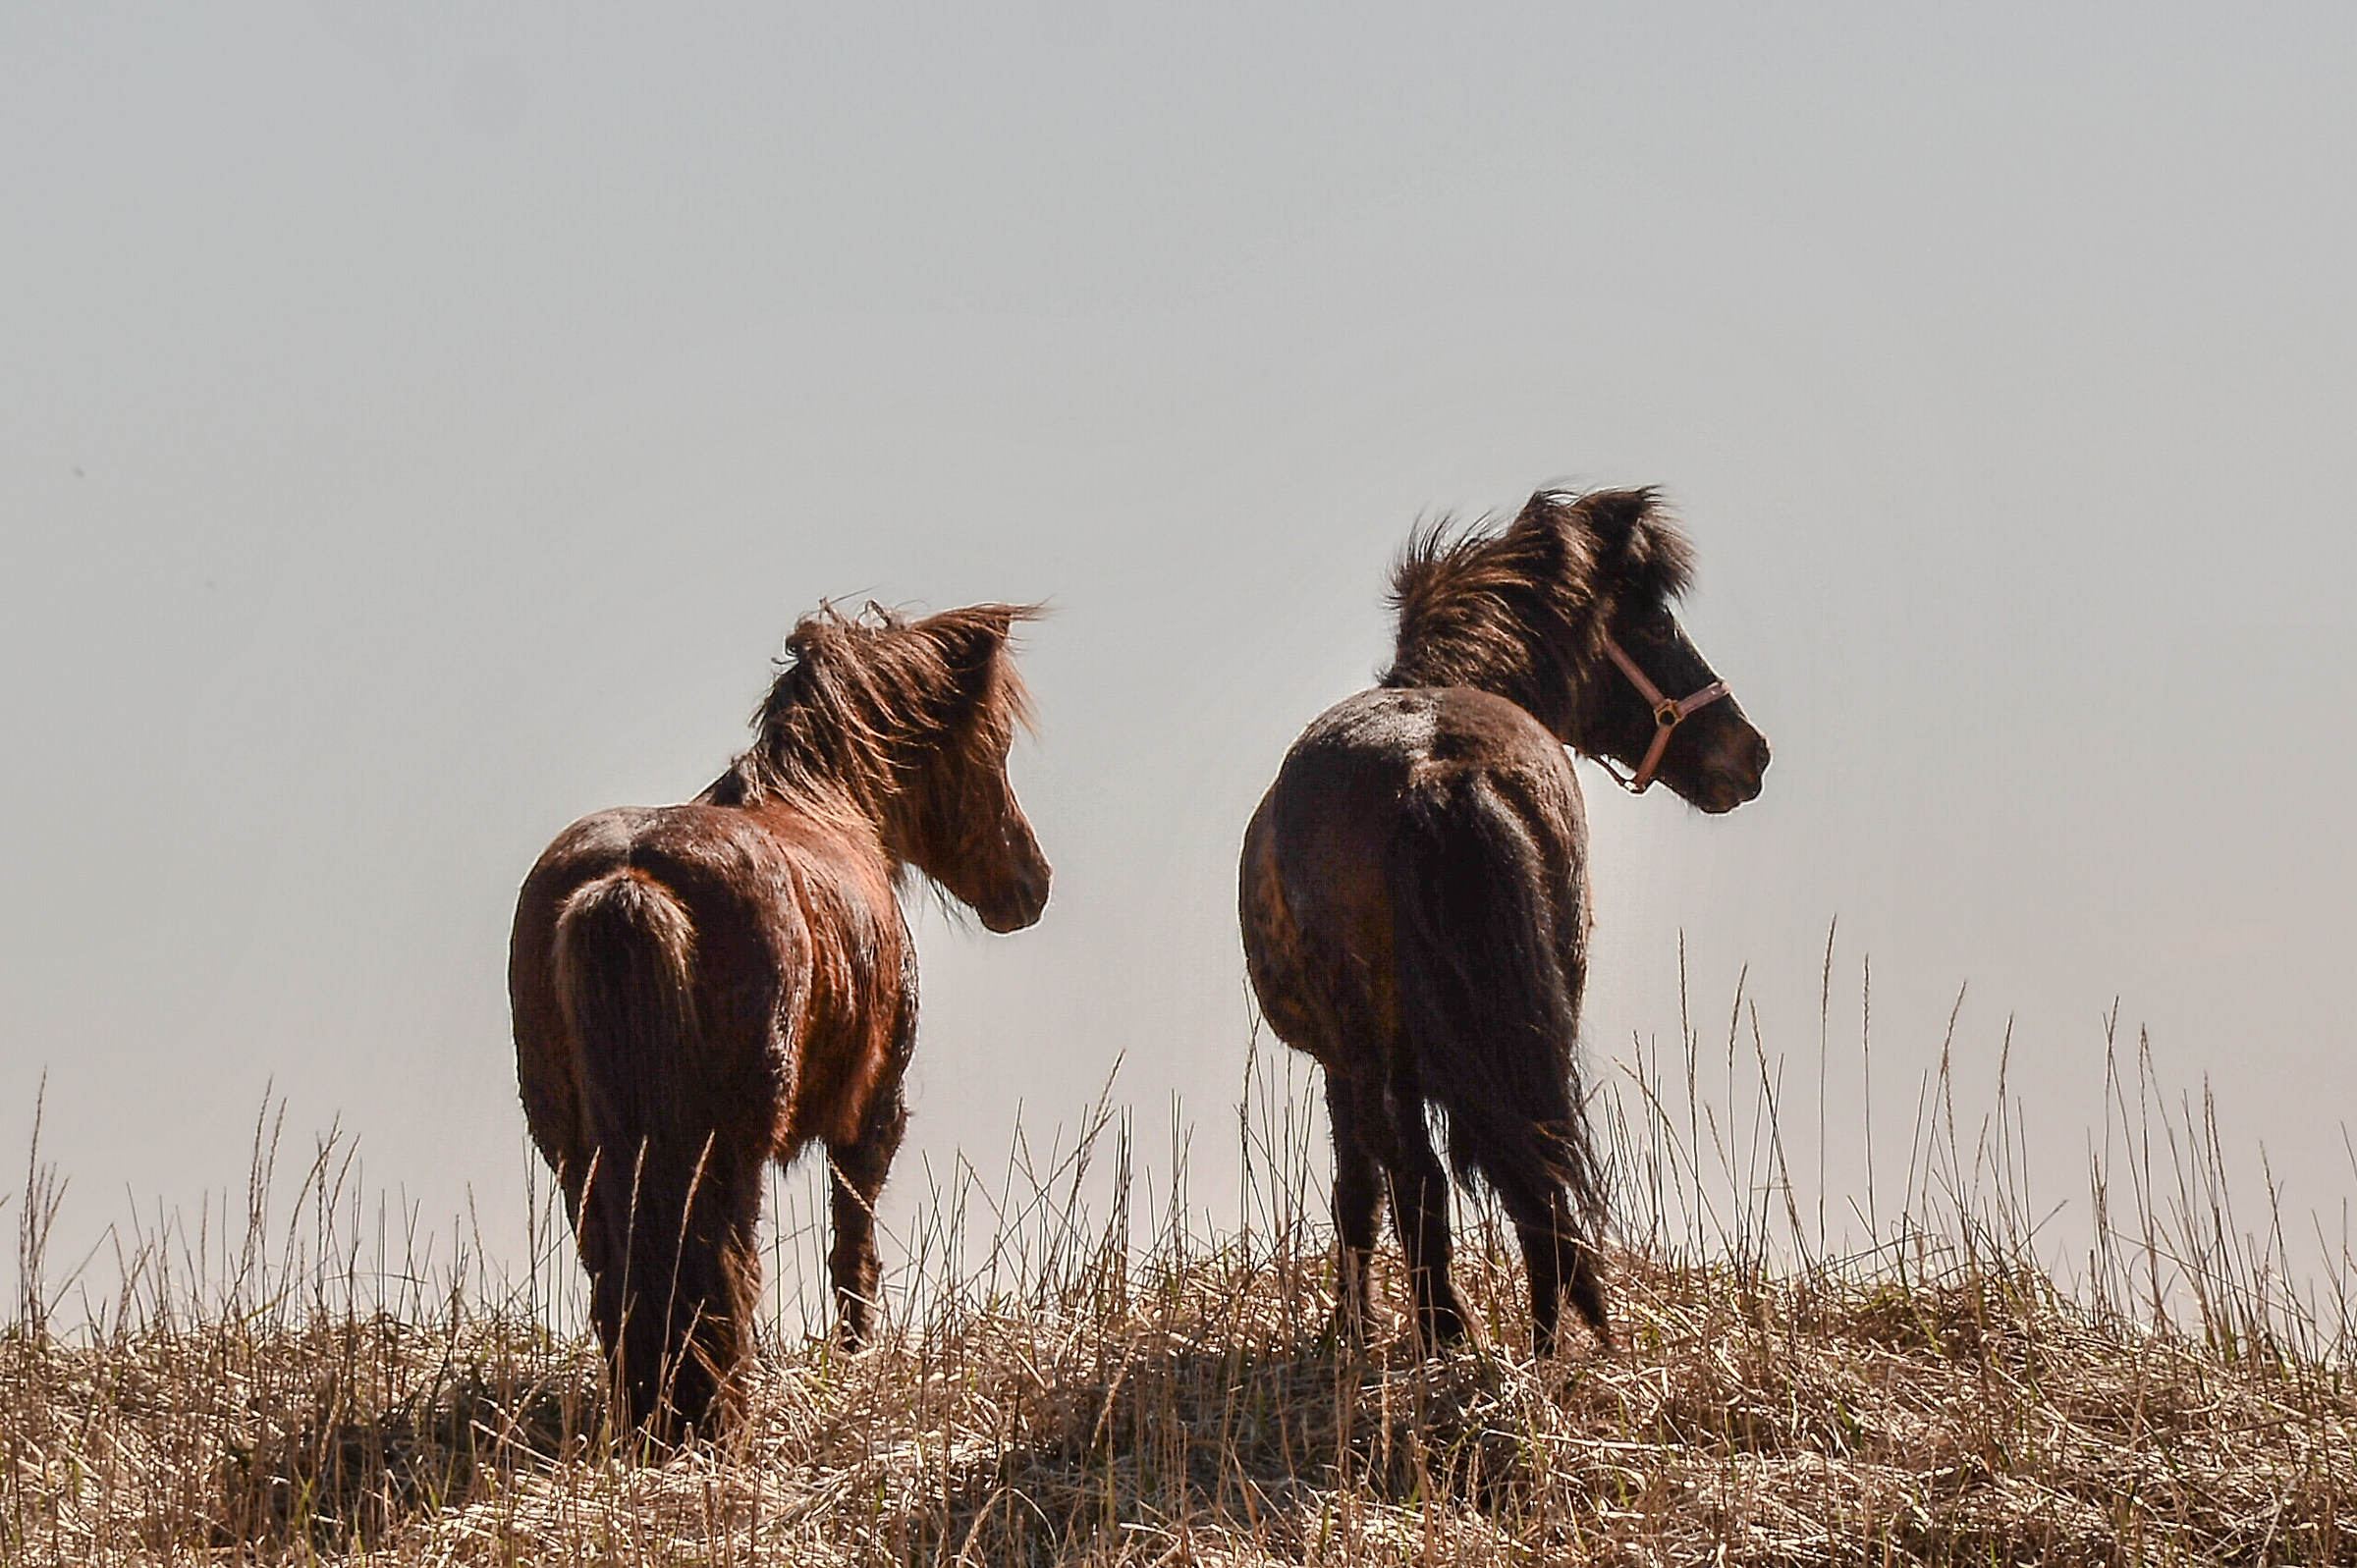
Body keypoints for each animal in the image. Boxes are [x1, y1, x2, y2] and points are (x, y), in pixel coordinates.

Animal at [509, 602, 1050, 1441]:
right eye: (993, 747)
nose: (1033, 883)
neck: (826, 802)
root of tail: (629, 880)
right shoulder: (873, 1114)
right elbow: (853, 1249)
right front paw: (857, 1358)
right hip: (731, 1145)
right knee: (725, 1264)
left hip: (576, 1151)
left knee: (617, 1271)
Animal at [1240, 488, 1769, 1357]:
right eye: (1657, 625)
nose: (1751, 752)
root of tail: (1434, 765)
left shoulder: (1344, 1063)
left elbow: (1359, 1189)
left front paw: (1354, 1326)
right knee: (1533, 1157)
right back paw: (1542, 1339)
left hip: (1378, 1044)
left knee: (1422, 1174)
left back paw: (1450, 1334)